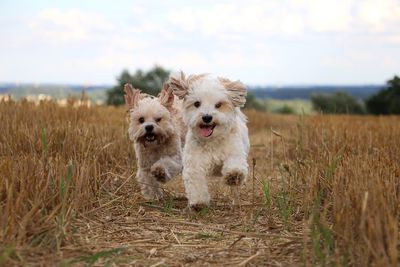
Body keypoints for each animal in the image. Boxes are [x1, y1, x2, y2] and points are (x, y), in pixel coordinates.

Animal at [166, 73, 248, 209]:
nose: (207, 117)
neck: (212, 140)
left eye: (218, 105)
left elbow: (235, 162)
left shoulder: (235, 150)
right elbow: (196, 182)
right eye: (197, 103)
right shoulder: (194, 162)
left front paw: (233, 175)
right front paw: (199, 202)